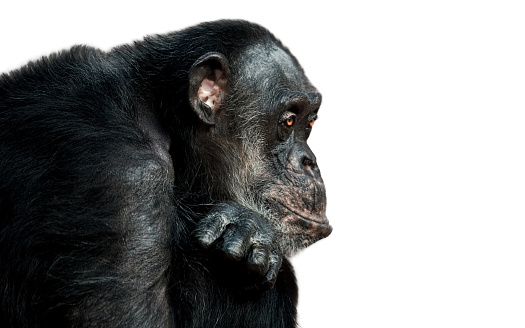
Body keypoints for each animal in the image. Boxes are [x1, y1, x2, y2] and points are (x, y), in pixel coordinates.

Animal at [1, 19, 332, 326]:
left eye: (309, 123)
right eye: (289, 121)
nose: (309, 161)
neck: (164, 119)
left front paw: (250, 238)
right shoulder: (125, 182)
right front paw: (251, 230)